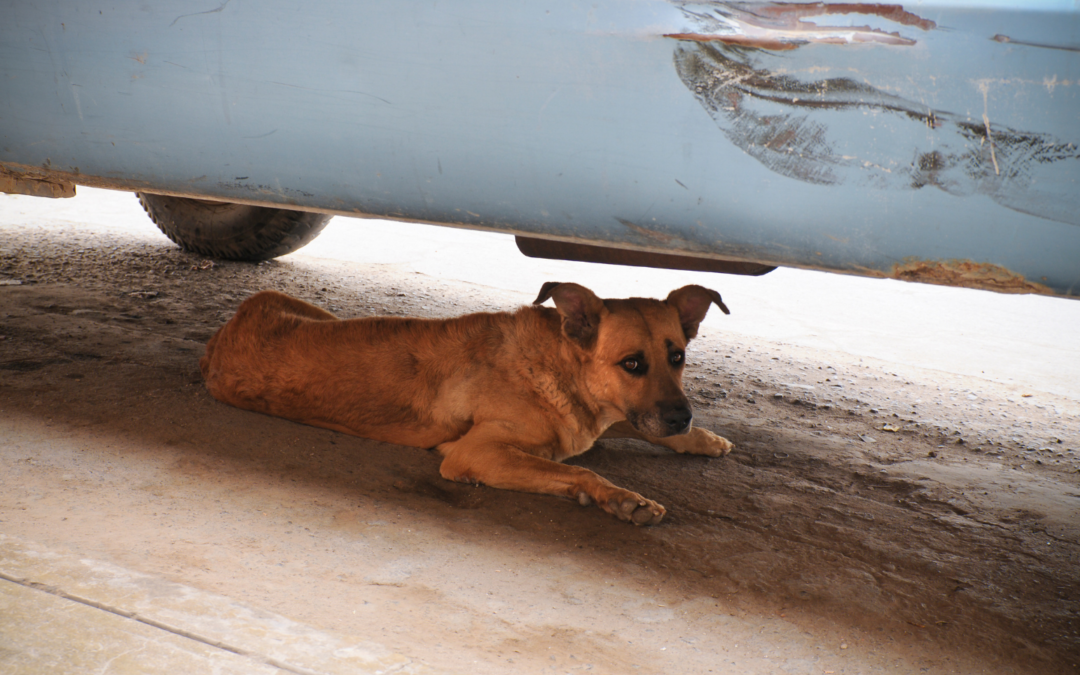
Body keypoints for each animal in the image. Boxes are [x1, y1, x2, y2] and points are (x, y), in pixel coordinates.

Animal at [200, 280, 734, 524]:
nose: (682, 417)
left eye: (678, 357)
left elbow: (624, 426)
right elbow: (580, 469)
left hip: (321, 313)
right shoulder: (477, 452)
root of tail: (222, 336)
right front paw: (623, 498)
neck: (559, 366)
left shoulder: (614, 415)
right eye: (632, 363)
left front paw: (702, 439)